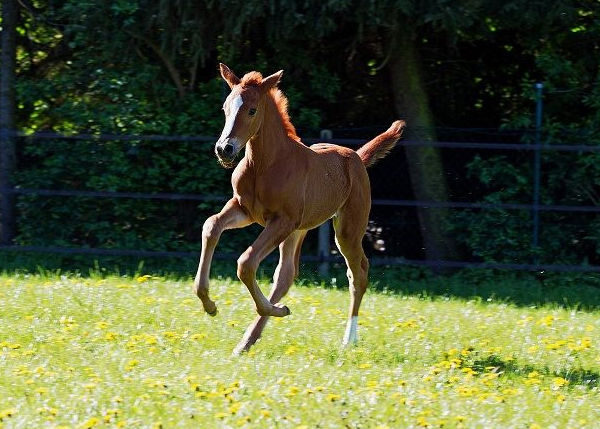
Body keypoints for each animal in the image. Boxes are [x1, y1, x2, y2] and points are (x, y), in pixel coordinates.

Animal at [195, 62, 406, 352]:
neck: (264, 165)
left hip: (346, 230)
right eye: (225, 107)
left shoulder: (282, 220)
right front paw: (209, 304)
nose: (224, 149)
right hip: (298, 230)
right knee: (286, 274)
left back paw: (348, 338)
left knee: (358, 273)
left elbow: (246, 262)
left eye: (252, 110)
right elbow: (211, 226)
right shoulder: (244, 210)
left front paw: (274, 310)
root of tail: (356, 157)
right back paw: (248, 340)